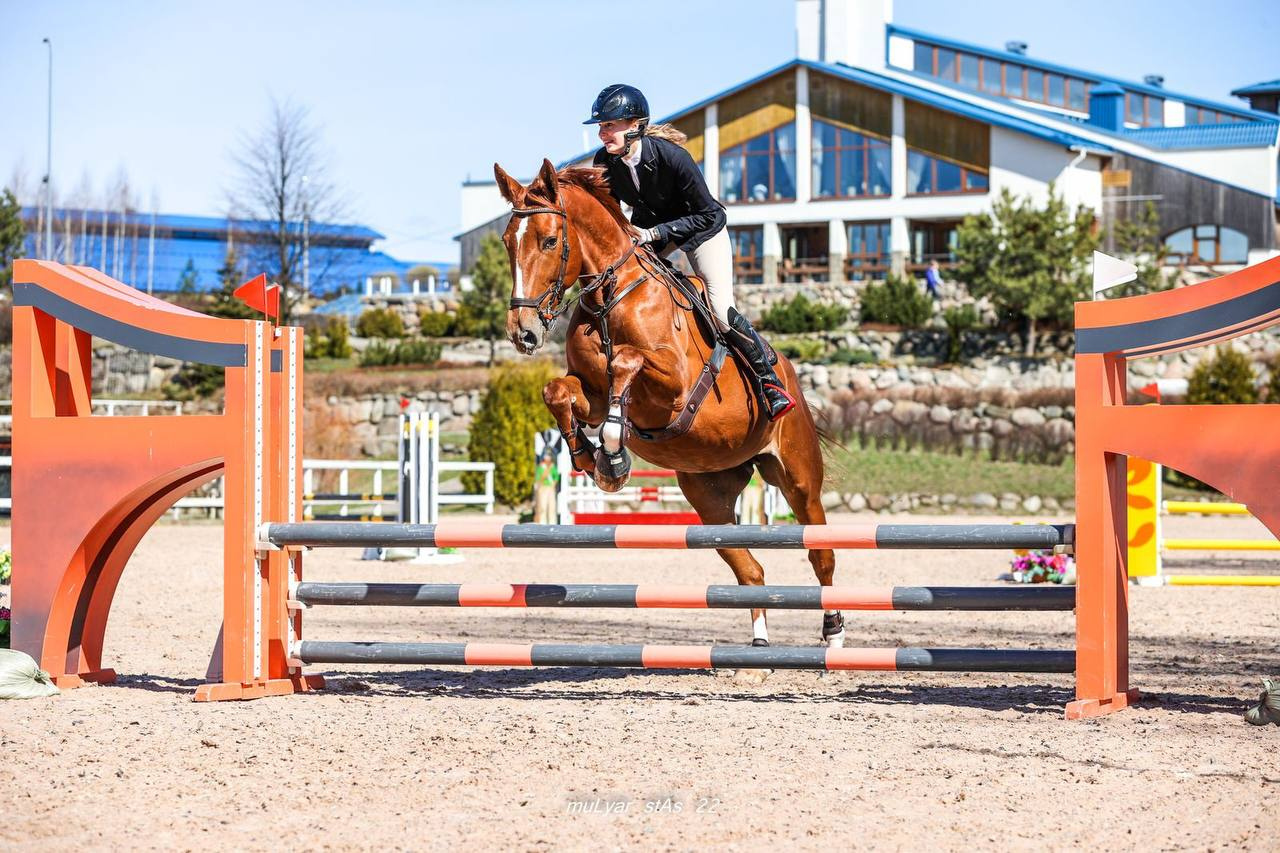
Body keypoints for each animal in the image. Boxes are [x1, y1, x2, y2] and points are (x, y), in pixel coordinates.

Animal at [499, 156, 849, 648]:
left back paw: (833, 633)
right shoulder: (590, 392)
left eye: (549, 240)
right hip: (710, 498)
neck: (611, 296)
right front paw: (589, 457)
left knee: (821, 554)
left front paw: (612, 451)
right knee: (750, 568)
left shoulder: (674, 387)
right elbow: (558, 390)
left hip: (797, 478)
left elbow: (625, 362)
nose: (524, 334)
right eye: (507, 242)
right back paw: (759, 641)